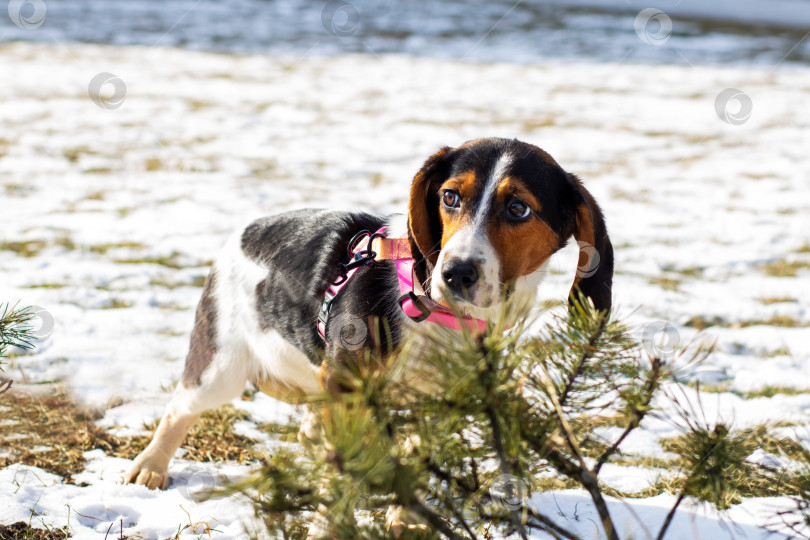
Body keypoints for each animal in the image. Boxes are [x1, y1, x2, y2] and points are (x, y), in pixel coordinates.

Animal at [123, 138, 612, 490]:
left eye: (518, 208)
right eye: (450, 197)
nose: (455, 272)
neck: (441, 318)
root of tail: (244, 231)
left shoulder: (440, 404)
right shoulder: (346, 384)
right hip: (220, 369)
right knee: (180, 408)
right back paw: (151, 467)